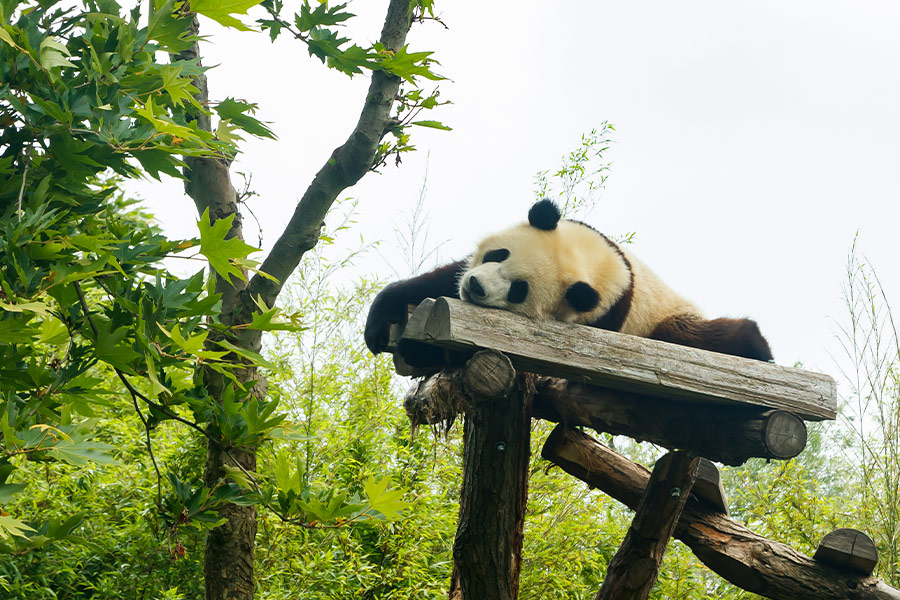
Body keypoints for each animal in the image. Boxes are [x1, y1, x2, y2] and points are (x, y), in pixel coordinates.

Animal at [364, 199, 773, 364]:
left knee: (693, 333)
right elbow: (439, 280)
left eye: (519, 291)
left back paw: (756, 344)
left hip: (664, 319)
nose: (476, 287)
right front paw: (380, 323)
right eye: (499, 255)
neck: (598, 259)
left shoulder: (605, 313)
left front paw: (420, 351)